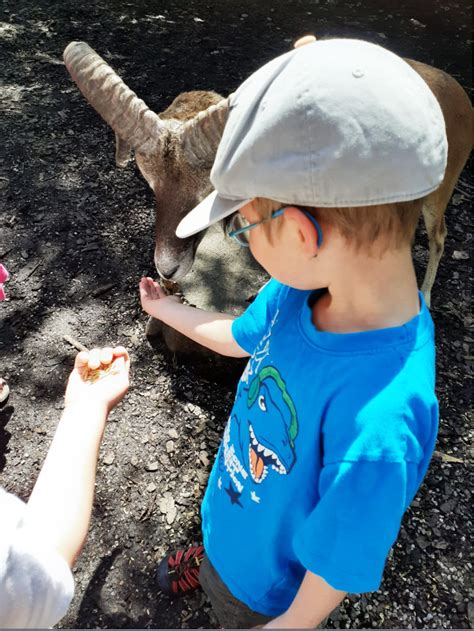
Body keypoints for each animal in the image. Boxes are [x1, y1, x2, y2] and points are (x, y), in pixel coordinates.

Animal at [63, 39, 470, 306]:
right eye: (152, 184)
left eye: (206, 192)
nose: (167, 268)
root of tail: (459, 95)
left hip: (439, 196)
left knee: (439, 237)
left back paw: (424, 295)